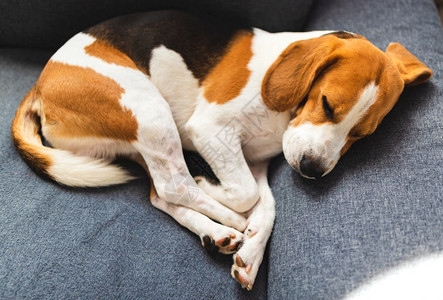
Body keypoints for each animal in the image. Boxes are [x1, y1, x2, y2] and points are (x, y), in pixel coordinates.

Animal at [11, 10, 434, 290]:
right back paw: (224, 217)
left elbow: (267, 205)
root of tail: (41, 83)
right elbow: (246, 195)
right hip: (148, 109)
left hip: (142, 138)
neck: (285, 111)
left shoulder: (257, 160)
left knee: (158, 193)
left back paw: (216, 233)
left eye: (361, 135)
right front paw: (227, 203)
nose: (312, 169)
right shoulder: (210, 129)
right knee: (175, 185)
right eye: (328, 104)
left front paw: (252, 254)